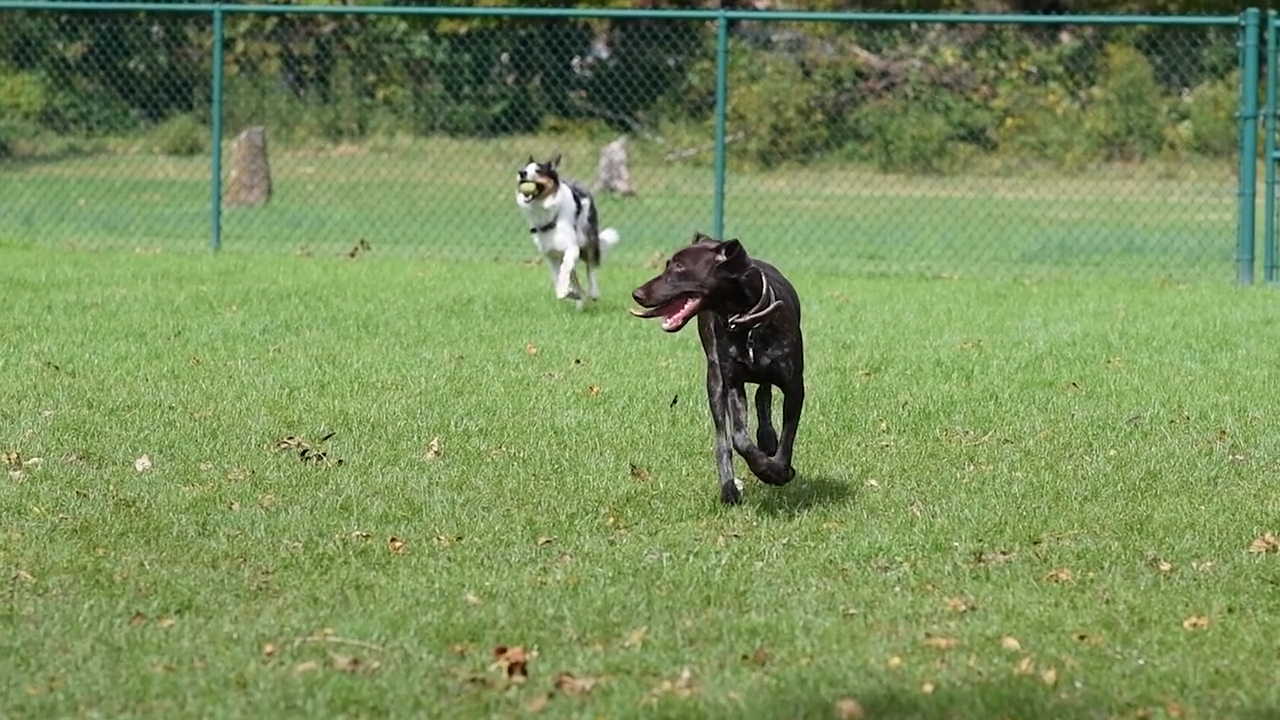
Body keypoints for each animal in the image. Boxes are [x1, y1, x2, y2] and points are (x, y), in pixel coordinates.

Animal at [517, 152, 622, 307]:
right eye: (525, 168)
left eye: (539, 171)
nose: (522, 173)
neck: (547, 211)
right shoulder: (551, 254)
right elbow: (558, 276)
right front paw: (571, 293)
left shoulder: (572, 248)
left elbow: (565, 270)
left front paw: (564, 291)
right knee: (575, 276)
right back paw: (579, 299)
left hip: (586, 240)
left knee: (589, 267)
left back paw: (593, 292)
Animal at [632, 230, 803, 504]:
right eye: (668, 264)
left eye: (679, 267)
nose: (637, 293)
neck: (746, 323)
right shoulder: (732, 384)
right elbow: (738, 438)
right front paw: (766, 469)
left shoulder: (794, 386)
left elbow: (788, 435)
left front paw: (778, 470)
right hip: (714, 379)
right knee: (723, 439)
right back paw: (729, 489)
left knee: (763, 395)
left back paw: (767, 440)